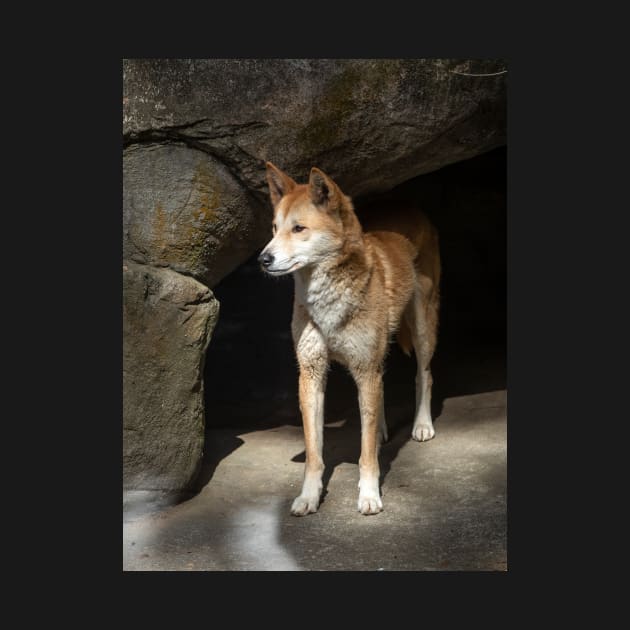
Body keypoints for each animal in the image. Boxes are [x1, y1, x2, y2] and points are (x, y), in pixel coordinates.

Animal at [260, 163, 442, 520]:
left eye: (299, 228)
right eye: (274, 228)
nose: (264, 259)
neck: (327, 300)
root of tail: (408, 205)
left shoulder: (364, 367)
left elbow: (365, 454)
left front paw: (369, 495)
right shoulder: (312, 374)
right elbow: (315, 453)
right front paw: (309, 496)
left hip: (422, 325)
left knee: (423, 375)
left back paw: (422, 425)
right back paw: (382, 429)